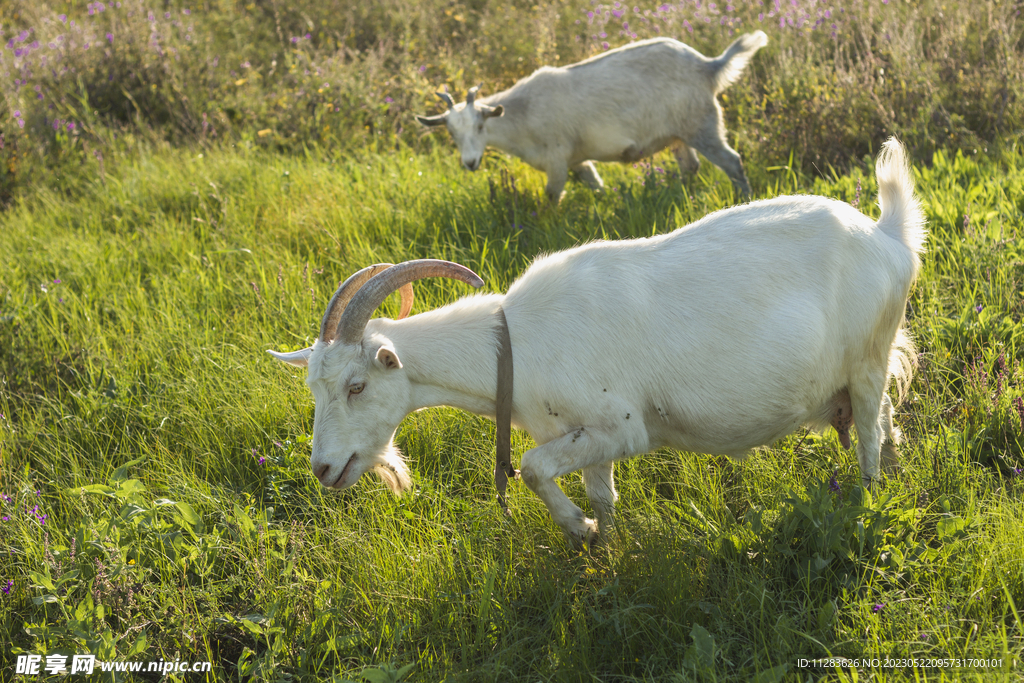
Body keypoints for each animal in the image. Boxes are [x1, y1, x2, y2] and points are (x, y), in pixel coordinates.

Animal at [272, 139, 929, 548]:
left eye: (357, 385)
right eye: (314, 389)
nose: (323, 468)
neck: (514, 343)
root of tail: (887, 236)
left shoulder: (620, 426)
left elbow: (532, 468)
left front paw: (579, 530)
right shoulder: (581, 435)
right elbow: (602, 494)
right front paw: (604, 545)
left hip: (866, 361)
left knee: (868, 437)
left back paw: (869, 497)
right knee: (886, 417)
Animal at [415, 32, 770, 202]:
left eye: (480, 125)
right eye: (451, 133)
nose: (470, 163)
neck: (522, 114)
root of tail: (708, 66)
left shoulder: (557, 158)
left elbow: (551, 197)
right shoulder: (576, 160)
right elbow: (595, 184)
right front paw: (609, 202)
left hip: (702, 125)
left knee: (732, 161)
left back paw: (744, 200)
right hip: (678, 135)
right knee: (690, 167)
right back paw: (685, 196)